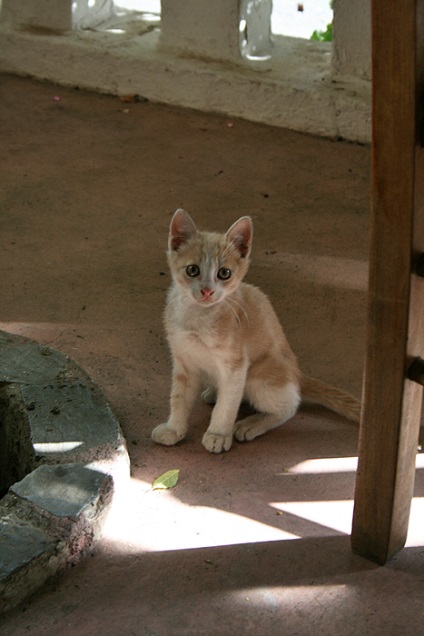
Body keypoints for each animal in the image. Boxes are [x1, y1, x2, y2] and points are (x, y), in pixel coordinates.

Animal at [151, 209, 360, 452]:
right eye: (193, 270)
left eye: (224, 273)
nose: (207, 291)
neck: (198, 317)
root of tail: (297, 372)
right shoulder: (183, 360)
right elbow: (179, 398)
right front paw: (174, 429)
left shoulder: (236, 365)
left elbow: (227, 405)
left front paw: (218, 434)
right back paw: (213, 391)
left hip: (258, 377)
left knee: (290, 404)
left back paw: (252, 423)